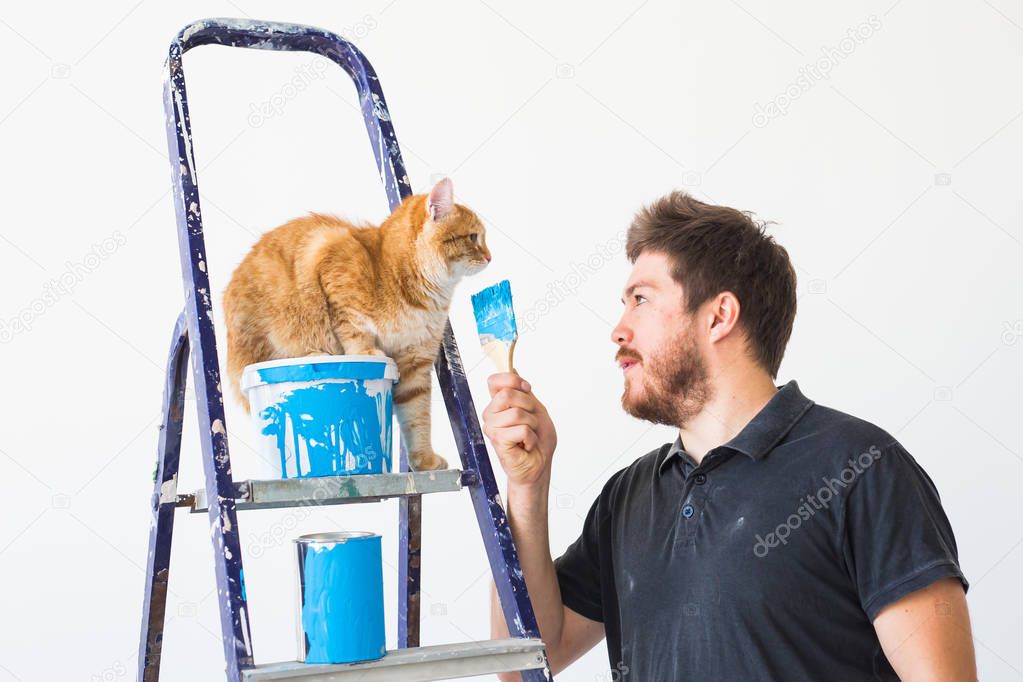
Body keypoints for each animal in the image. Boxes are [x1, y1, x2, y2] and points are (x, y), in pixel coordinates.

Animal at [223, 178, 491, 472]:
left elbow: (418, 416)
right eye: (473, 237)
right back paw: (317, 354)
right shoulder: (332, 262)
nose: (490, 257)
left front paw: (424, 459)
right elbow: (353, 328)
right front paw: (365, 351)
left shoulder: (415, 364)